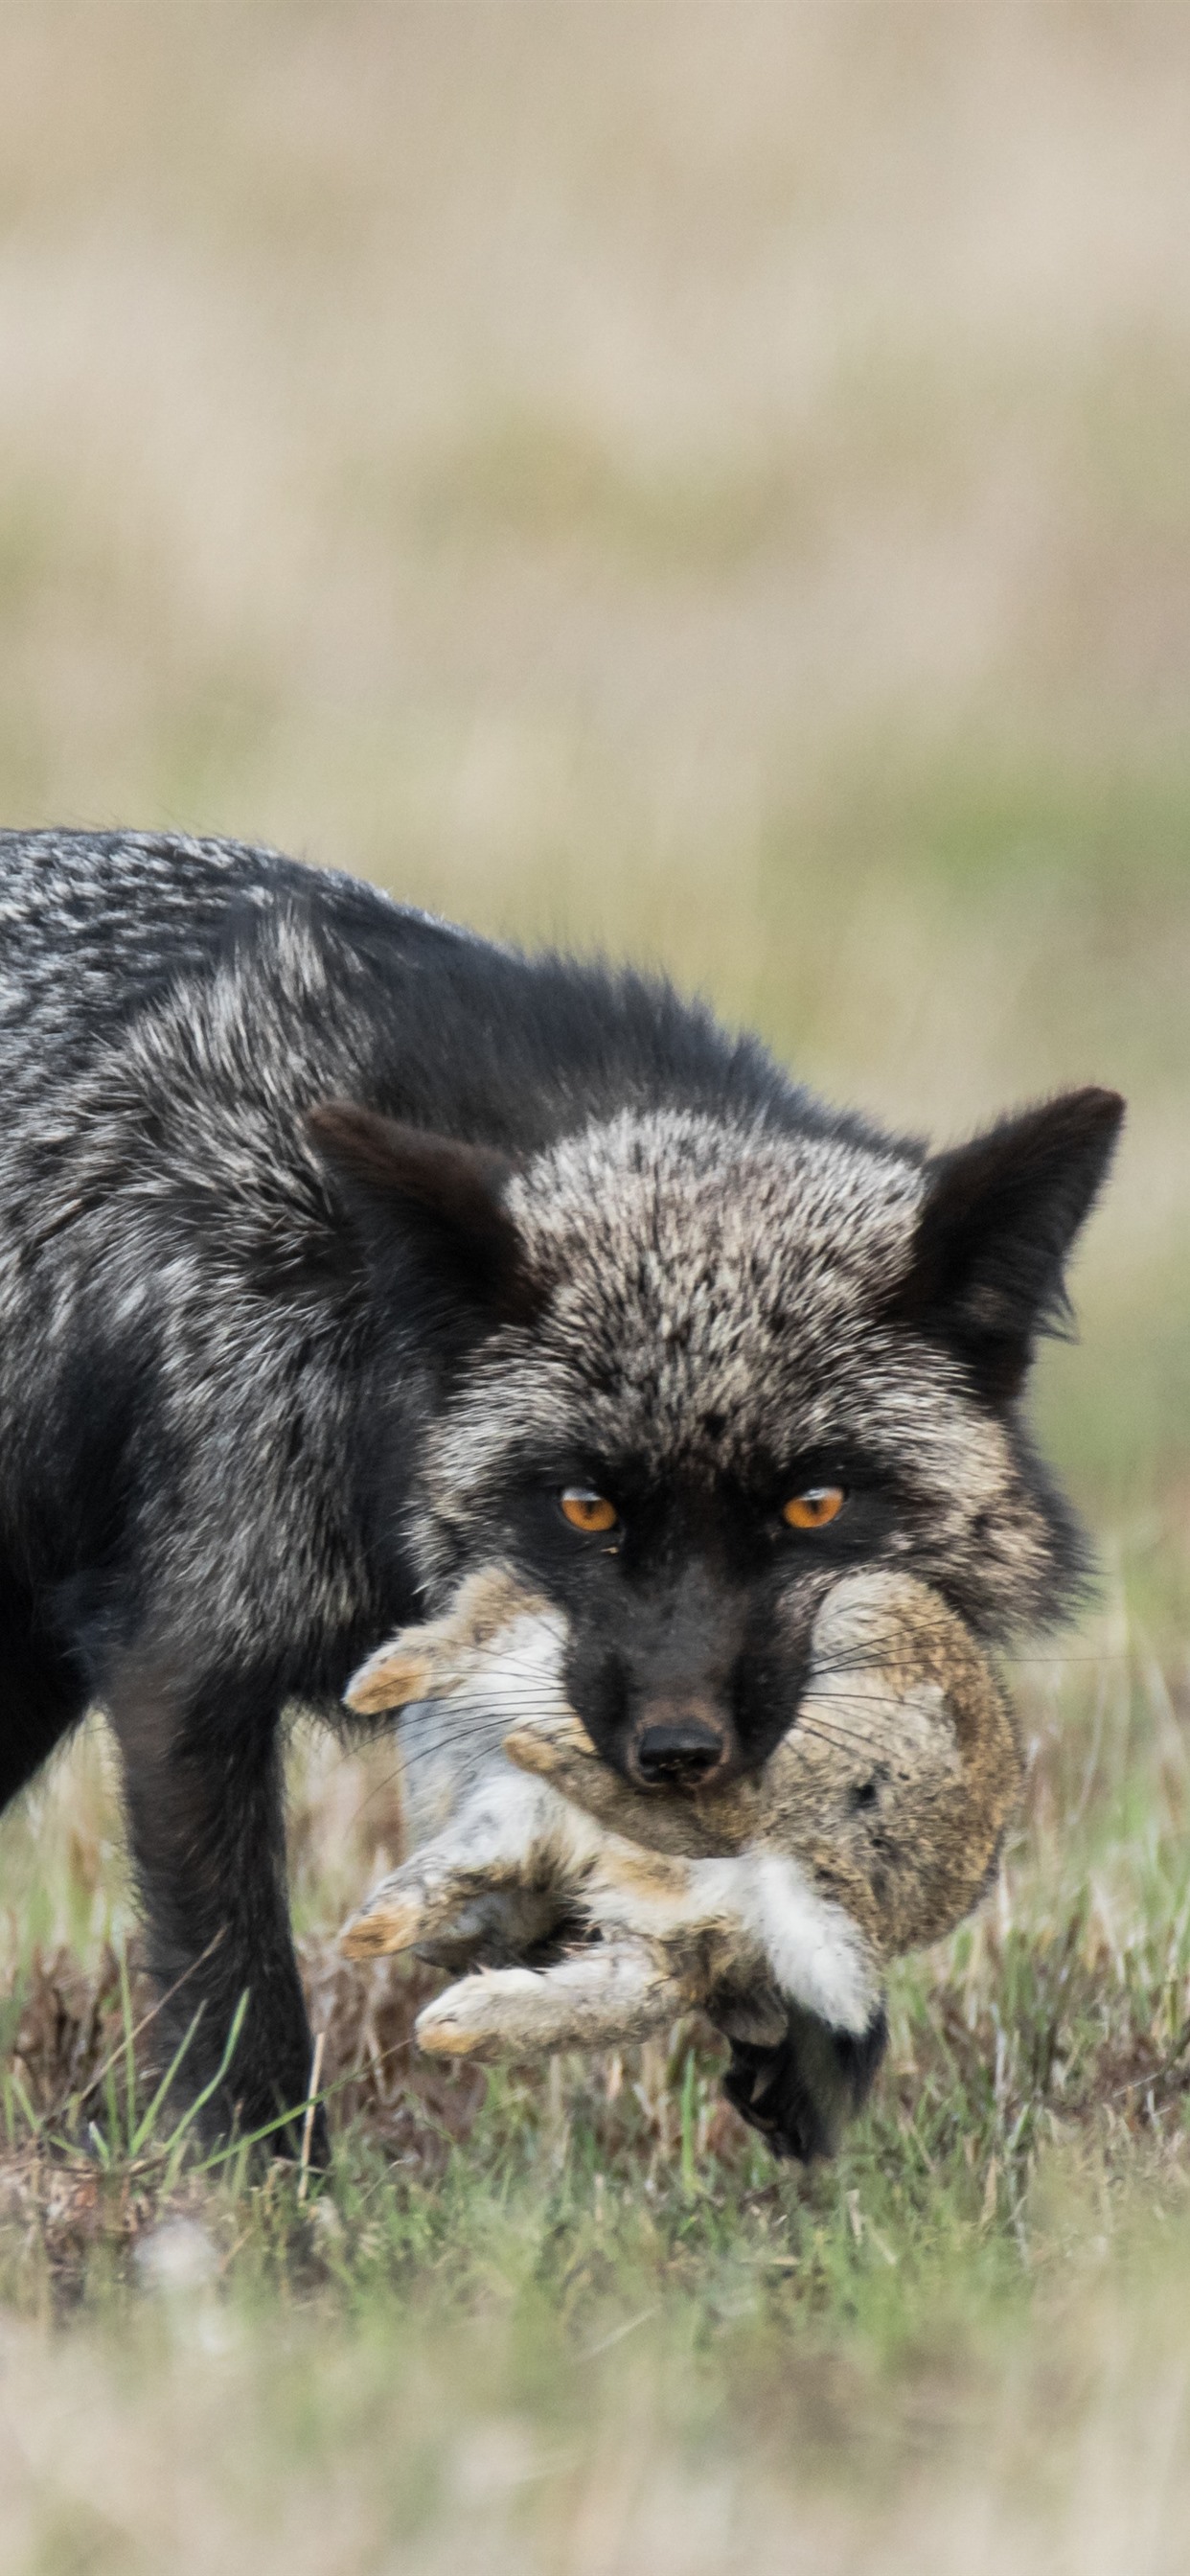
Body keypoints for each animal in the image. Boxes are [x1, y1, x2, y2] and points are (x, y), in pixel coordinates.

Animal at [0, 828, 1122, 2156]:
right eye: (585, 1507)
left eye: (815, 1505)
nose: (677, 1753)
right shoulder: (182, 1669)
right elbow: (238, 1997)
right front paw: (265, 2192)